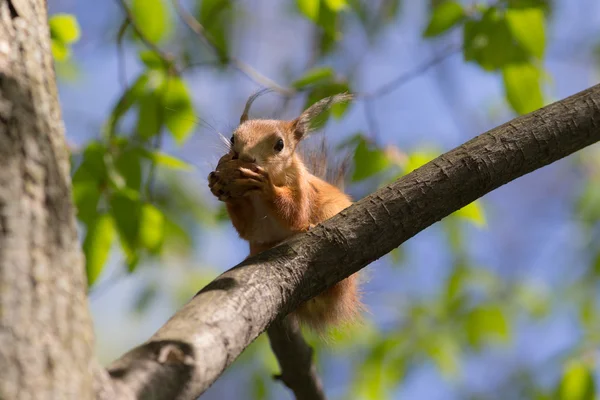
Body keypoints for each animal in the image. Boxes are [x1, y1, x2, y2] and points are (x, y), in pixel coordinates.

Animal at [209, 91, 360, 332]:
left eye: (279, 144)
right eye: (233, 138)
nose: (245, 158)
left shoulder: (301, 188)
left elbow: (295, 214)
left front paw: (267, 186)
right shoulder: (255, 227)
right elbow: (249, 229)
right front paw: (218, 185)